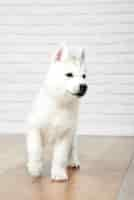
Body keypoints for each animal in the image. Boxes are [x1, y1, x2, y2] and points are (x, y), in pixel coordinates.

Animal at [26, 43, 88, 181]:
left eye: (84, 76)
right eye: (69, 75)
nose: (84, 86)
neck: (60, 102)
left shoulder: (65, 134)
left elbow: (60, 156)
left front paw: (58, 173)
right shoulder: (34, 128)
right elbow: (36, 149)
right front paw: (35, 168)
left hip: (73, 133)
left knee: (73, 148)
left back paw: (73, 161)